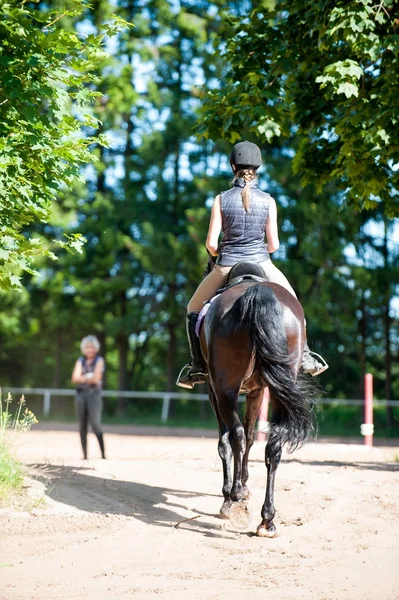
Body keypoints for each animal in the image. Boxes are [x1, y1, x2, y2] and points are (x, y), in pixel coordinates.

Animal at [199, 260, 316, 536]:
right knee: (273, 445)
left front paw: (231, 494)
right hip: (280, 384)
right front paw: (243, 487)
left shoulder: (214, 390)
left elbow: (226, 441)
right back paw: (267, 520)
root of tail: (257, 291)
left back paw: (234, 497)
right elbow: (253, 436)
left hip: (225, 389)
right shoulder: (257, 390)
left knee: (236, 435)